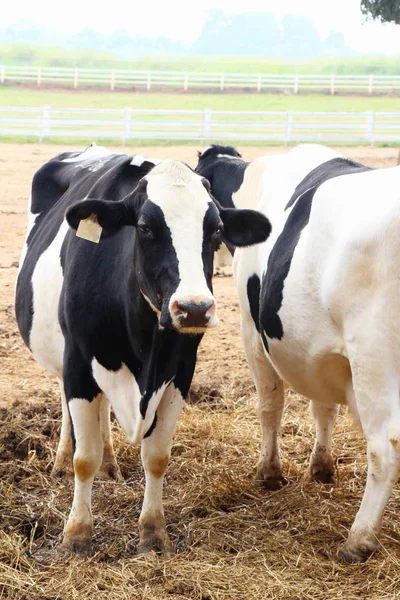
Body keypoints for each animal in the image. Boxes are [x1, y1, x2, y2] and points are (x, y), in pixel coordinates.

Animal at [15, 143, 272, 556]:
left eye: (215, 230)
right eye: (145, 227)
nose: (194, 308)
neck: (144, 347)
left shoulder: (181, 370)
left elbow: (157, 456)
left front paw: (153, 533)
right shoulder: (78, 362)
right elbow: (84, 458)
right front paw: (77, 535)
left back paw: (110, 465)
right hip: (64, 359)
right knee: (70, 413)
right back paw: (62, 461)